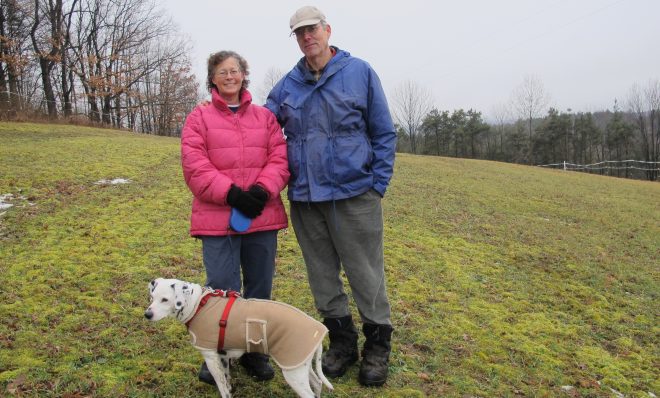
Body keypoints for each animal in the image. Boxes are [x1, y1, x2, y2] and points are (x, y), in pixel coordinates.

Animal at [142, 276, 332, 398]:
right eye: (152, 297)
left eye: (165, 299)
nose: (147, 314)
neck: (198, 304)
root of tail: (318, 329)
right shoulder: (223, 357)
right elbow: (227, 382)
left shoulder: (211, 357)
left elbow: (222, 387)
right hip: (300, 365)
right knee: (317, 383)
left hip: (293, 373)